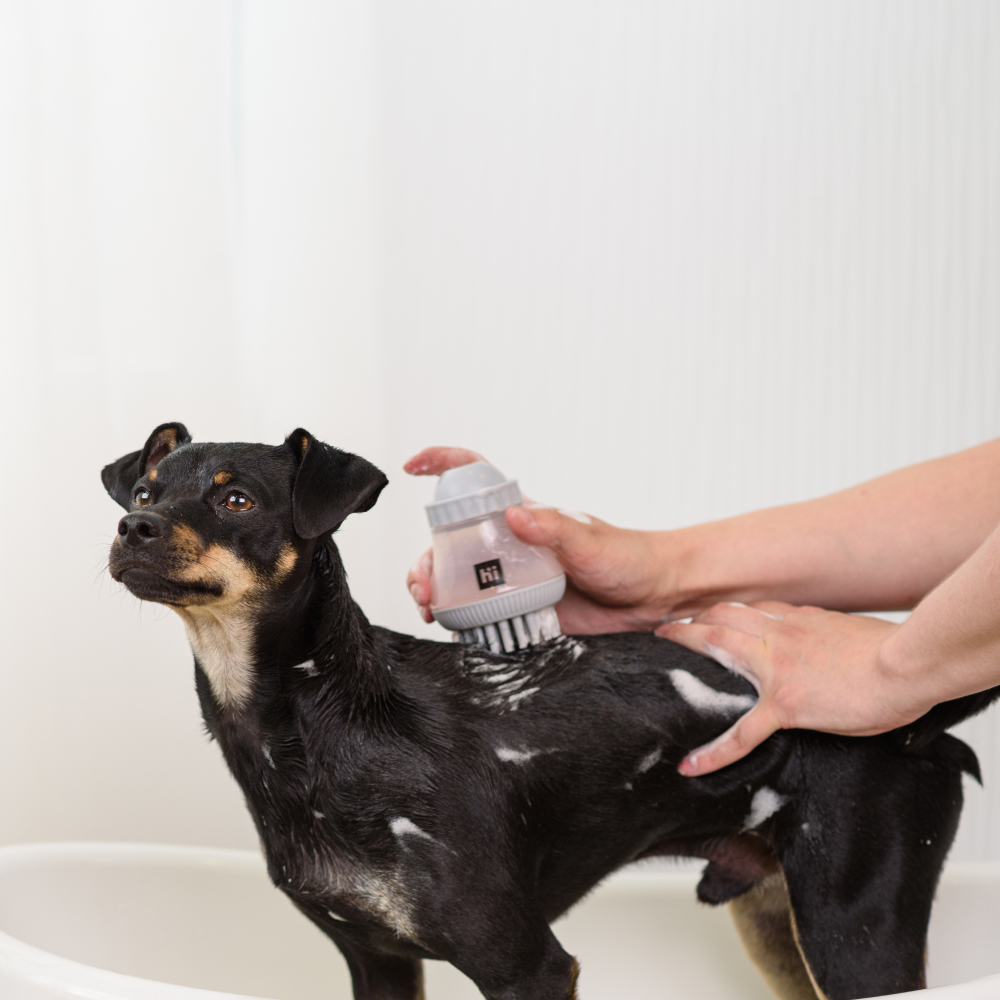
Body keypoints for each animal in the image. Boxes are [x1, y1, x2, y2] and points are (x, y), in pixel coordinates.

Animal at [103, 423, 999, 1000]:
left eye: (238, 501)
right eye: (145, 489)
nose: (133, 526)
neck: (321, 725)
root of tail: (925, 723)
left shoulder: (527, 966)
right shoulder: (378, 962)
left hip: (855, 933)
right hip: (778, 927)